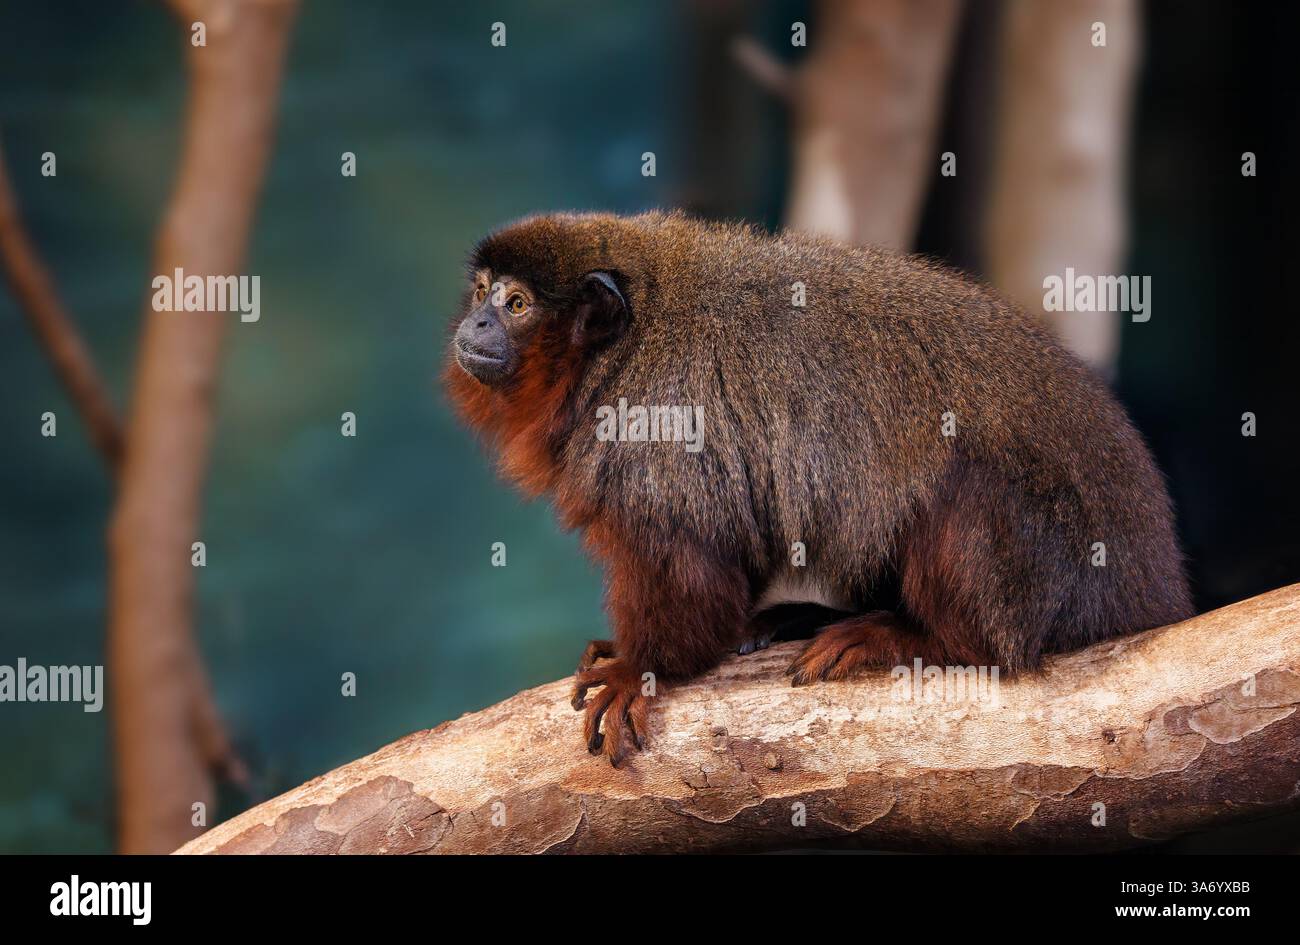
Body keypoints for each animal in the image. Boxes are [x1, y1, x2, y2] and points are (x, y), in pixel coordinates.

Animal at [444, 210, 1193, 767]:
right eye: (482, 292)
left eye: (516, 304)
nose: (475, 325)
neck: (620, 352)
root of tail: (1150, 585)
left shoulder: (653, 433)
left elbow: (690, 571)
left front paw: (640, 668)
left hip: (1051, 572)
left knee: (960, 488)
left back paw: (930, 639)